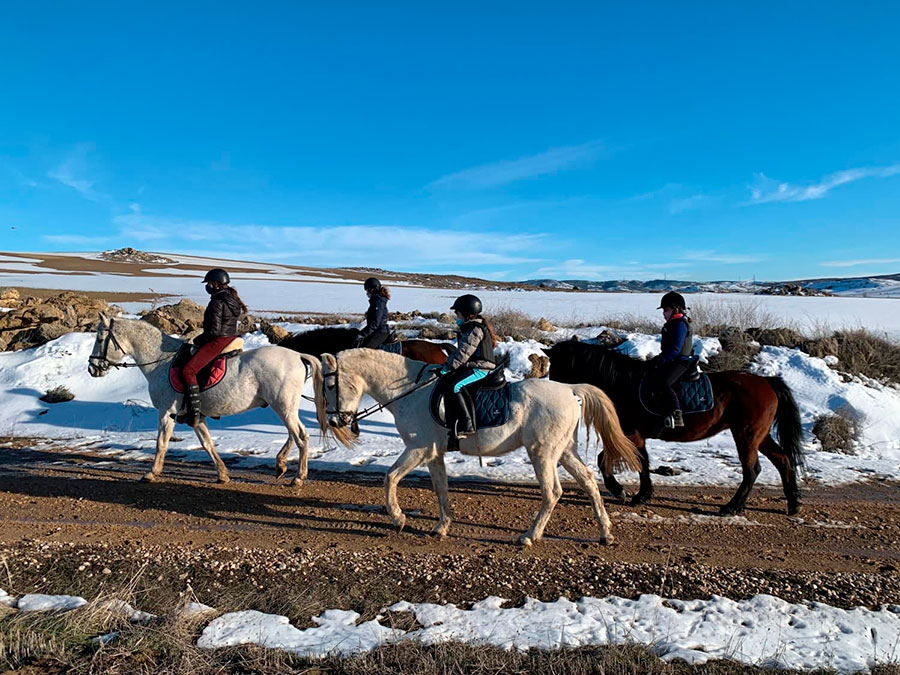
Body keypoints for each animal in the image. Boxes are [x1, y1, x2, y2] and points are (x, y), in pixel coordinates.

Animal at [87, 314, 324, 486]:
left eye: (100, 339)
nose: (92, 368)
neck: (161, 362)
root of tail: (298, 356)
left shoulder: (166, 412)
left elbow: (161, 442)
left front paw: (152, 473)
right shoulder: (196, 416)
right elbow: (207, 443)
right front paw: (223, 474)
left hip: (283, 407)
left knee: (301, 436)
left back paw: (298, 477)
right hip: (284, 407)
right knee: (294, 434)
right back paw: (281, 465)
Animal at [310, 348, 641, 546]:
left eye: (331, 385)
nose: (336, 420)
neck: (409, 391)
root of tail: (571, 390)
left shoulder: (418, 449)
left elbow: (389, 477)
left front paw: (399, 519)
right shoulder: (433, 453)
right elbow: (441, 488)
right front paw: (442, 526)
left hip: (543, 453)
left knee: (552, 493)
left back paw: (529, 536)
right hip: (563, 451)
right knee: (588, 481)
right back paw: (605, 533)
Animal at [543, 340, 805, 516]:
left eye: (556, 367)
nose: (554, 397)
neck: (620, 382)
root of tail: (767, 381)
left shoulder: (632, 435)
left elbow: (638, 463)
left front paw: (634, 494)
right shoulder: (629, 436)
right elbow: (612, 460)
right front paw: (626, 492)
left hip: (747, 435)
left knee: (752, 470)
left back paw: (732, 507)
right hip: (759, 435)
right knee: (783, 460)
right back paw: (793, 504)